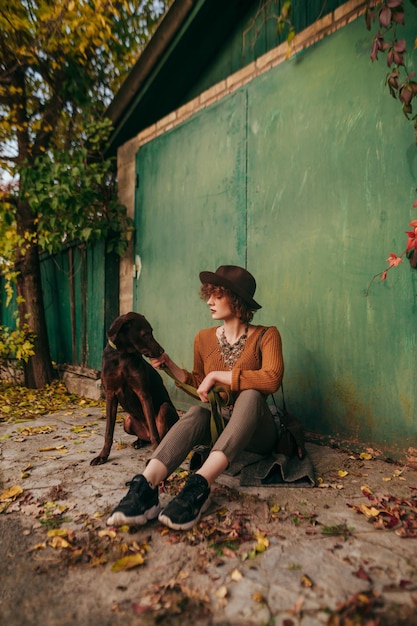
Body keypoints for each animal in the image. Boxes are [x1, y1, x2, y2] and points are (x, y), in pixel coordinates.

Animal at [90, 312, 178, 464]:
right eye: (145, 334)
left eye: (151, 332)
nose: (162, 351)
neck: (122, 355)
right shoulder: (110, 394)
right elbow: (108, 432)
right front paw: (102, 456)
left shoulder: (143, 393)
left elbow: (154, 432)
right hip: (127, 421)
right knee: (144, 437)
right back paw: (139, 441)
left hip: (165, 409)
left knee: (159, 435)